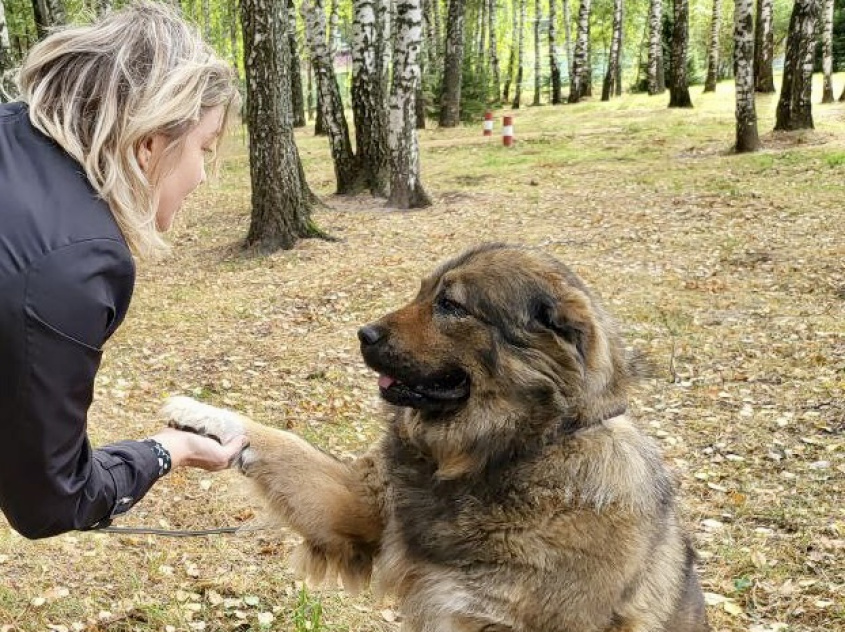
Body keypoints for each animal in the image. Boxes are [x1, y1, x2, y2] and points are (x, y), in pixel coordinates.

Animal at [162, 243, 708, 632]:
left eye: (450, 305)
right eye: (423, 292)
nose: (364, 334)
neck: (498, 459)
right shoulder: (359, 508)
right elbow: (283, 443)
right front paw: (200, 414)